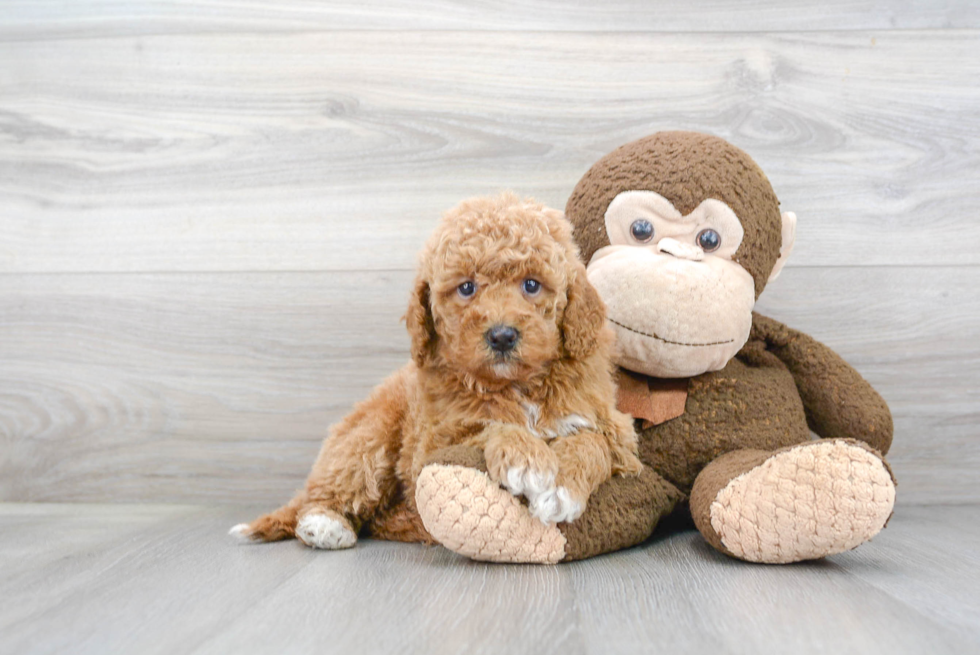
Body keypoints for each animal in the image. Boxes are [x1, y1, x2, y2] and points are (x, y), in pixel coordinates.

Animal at [230, 193, 644, 548]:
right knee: (328, 492)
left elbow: (593, 442)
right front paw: (526, 460)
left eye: (531, 285)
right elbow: (488, 425)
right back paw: (324, 524)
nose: (502, 336)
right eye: (466, 288)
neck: (516, 385)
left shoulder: (614, 429)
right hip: (368, 436)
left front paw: (561, 488)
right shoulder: (434, 440)